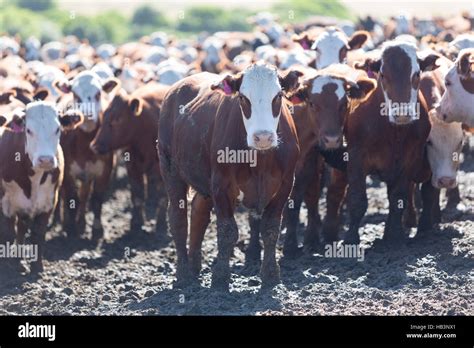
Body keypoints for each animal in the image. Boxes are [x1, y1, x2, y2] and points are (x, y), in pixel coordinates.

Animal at [0, 94, 83, 274]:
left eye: (58, 129)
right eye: (28, 130)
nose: (45, 160)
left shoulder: (49, 201)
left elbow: (38, 233)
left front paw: (37, 266)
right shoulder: (5, 203)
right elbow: (7, 233)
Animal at [90, 81, 169, 234]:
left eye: (117, 120)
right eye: (104, 116)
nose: (94, 146)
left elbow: (163, 196)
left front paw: (161, 224)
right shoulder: (132, 166)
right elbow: (137, 195)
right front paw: (136, 223)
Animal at [158, 62, 300, 290]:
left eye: (278, 95)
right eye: (242, 97)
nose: (263, 137)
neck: (259, 160)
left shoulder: (285, 185)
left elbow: (270, 229)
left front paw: (271, 276)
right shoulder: (221, 185)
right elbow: (227, 232)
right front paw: (221, 278)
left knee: (198, 212)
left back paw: (194, 266)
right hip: (170, 168)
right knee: (178, 219)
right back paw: (183, 274)